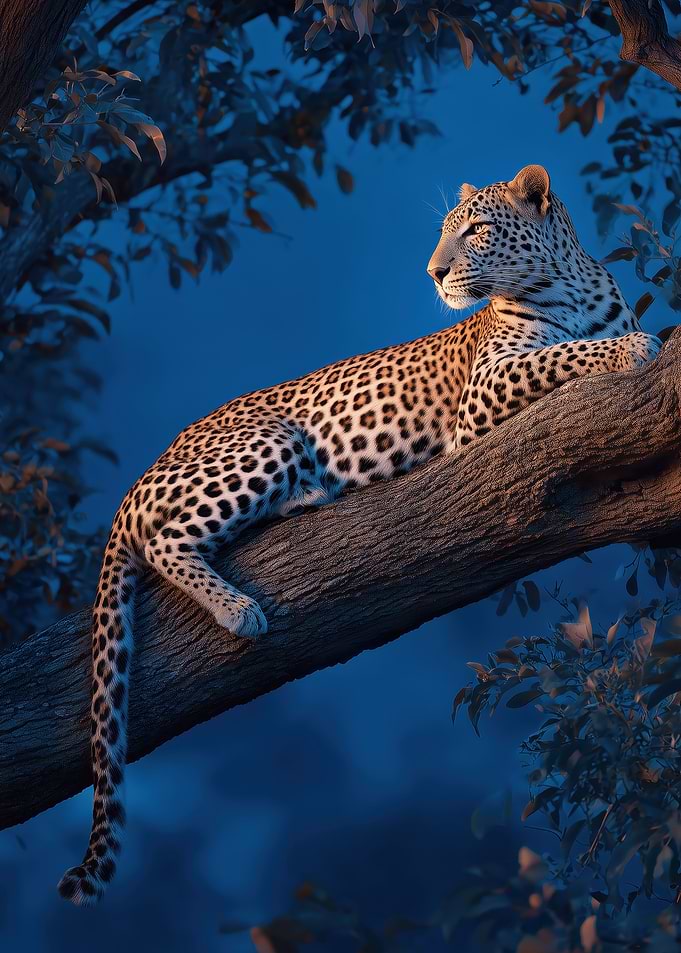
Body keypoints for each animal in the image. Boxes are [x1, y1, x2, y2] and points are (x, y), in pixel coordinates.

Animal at [58, 164, 661, 904]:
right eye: (445, 231)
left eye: (475, 229)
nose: (433, 273)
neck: (565, 284)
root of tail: (141, 476)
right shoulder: (486, 391)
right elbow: (570, 354)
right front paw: (631, 348)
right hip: (266, 443)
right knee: (164, 540)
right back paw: (239, 608)